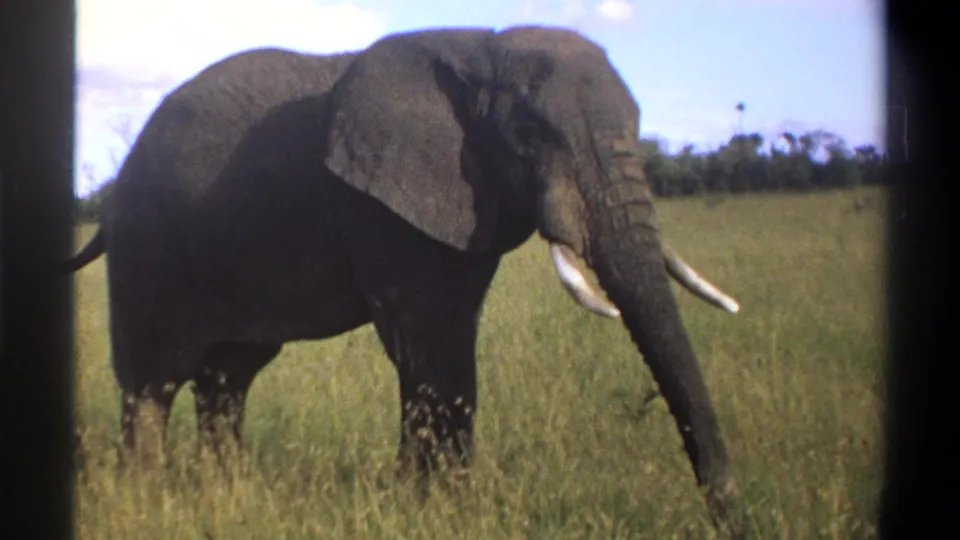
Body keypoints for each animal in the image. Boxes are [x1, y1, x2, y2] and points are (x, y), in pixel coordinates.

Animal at [61, 26, 746, 535]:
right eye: (530, 137)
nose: (730, 519)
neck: (482, 50)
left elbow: (447, 338)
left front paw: (435, 501)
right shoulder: (382, 208)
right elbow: (430, 342)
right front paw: (440, 506)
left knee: (228, 378)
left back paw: (226, 493)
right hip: (149, 247)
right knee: (153, 381)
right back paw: (149, 497)